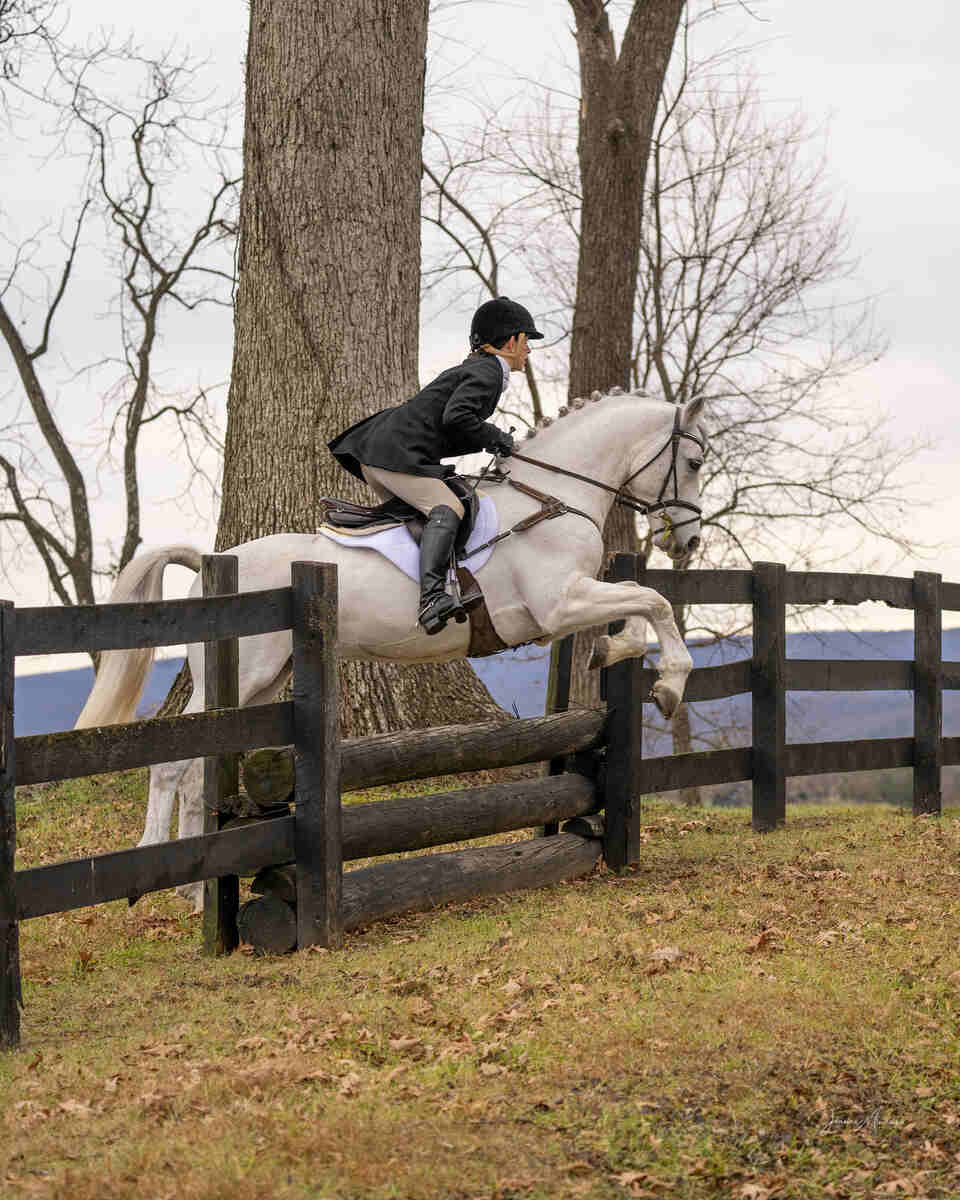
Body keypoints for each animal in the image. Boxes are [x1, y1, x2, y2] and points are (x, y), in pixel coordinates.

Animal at [75, 387, 707, 907]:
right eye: (695, 463)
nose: (691, 540)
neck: (551, 497)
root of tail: (213, 563)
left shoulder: (566, 608)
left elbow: (639, 605)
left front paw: (614, 653)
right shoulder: (560, 603)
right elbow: (653, 599)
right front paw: (670, 685)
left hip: (266, 678)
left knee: (196, 766)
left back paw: (198, 891)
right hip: (241, 673)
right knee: (174, 763)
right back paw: (156, 876)